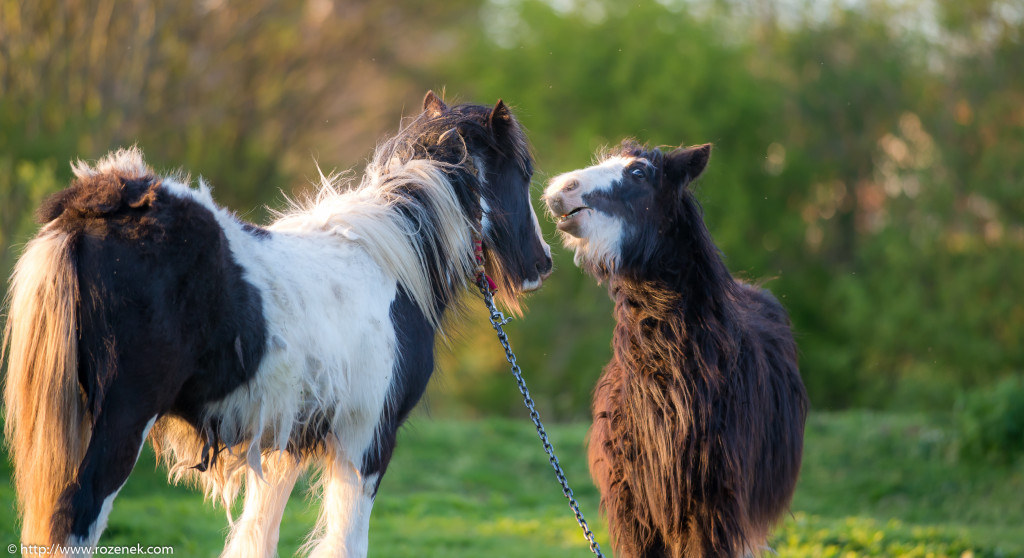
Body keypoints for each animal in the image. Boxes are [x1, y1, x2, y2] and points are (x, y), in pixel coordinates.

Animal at [2, 92, 552, 556]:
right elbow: (345, 544)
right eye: (523, 172)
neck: (389, 262)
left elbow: (255, 537)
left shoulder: (284, 442)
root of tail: (98, 207)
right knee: (75, 518)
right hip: (123, 420)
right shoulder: (365, 443)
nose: (541, 265)